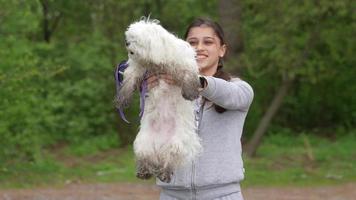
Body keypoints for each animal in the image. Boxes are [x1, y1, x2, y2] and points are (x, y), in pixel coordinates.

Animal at [115, 19, 202, 183]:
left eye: (136, 40)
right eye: (129, 37)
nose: (126, 43)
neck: (156, 61)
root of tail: (161, 144)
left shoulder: (183, 61)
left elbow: (188, 75)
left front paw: (190, 92)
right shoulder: (136, 69)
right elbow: (128, 83)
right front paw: (122, 100)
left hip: (177, 143)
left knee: (169, 159)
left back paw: (165, 174)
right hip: (143, 143)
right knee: (146, 159)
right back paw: (144, 172)